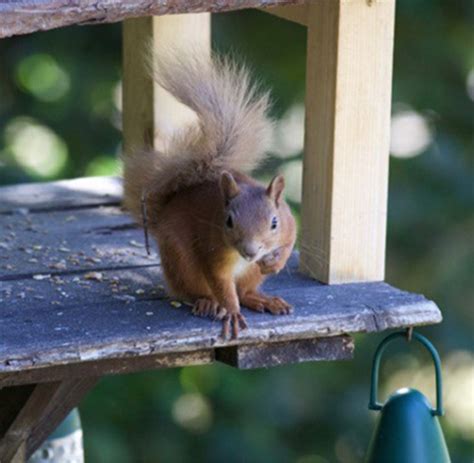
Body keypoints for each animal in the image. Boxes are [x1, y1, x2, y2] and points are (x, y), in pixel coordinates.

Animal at [126, 51, 296, 340]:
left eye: (274, 223)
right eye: (228, 221)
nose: (251, 252)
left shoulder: (289, 223)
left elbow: (290, 240)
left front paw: (275, 263)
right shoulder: (212, 250)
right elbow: (221, 282)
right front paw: (232, 312)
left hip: (250, 275)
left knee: (244, 291)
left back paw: (262, 299)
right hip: (181, 262)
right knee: (194, 291)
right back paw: (208, 302)